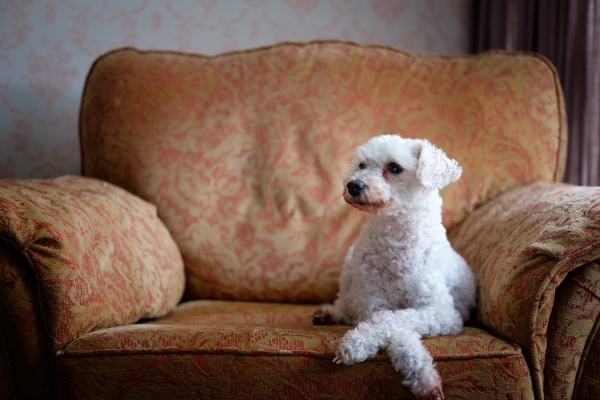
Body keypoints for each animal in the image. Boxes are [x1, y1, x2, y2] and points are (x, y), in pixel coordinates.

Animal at [314, 135, 478, 400]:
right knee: (345, 303)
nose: (353, 185)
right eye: (361, 165)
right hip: (350, 269)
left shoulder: (443, 313)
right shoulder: (372, 305)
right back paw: (330, 313)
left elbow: (397, 322)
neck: (395, 244)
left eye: (394, 167)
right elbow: (390, 323)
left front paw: (423, 378)